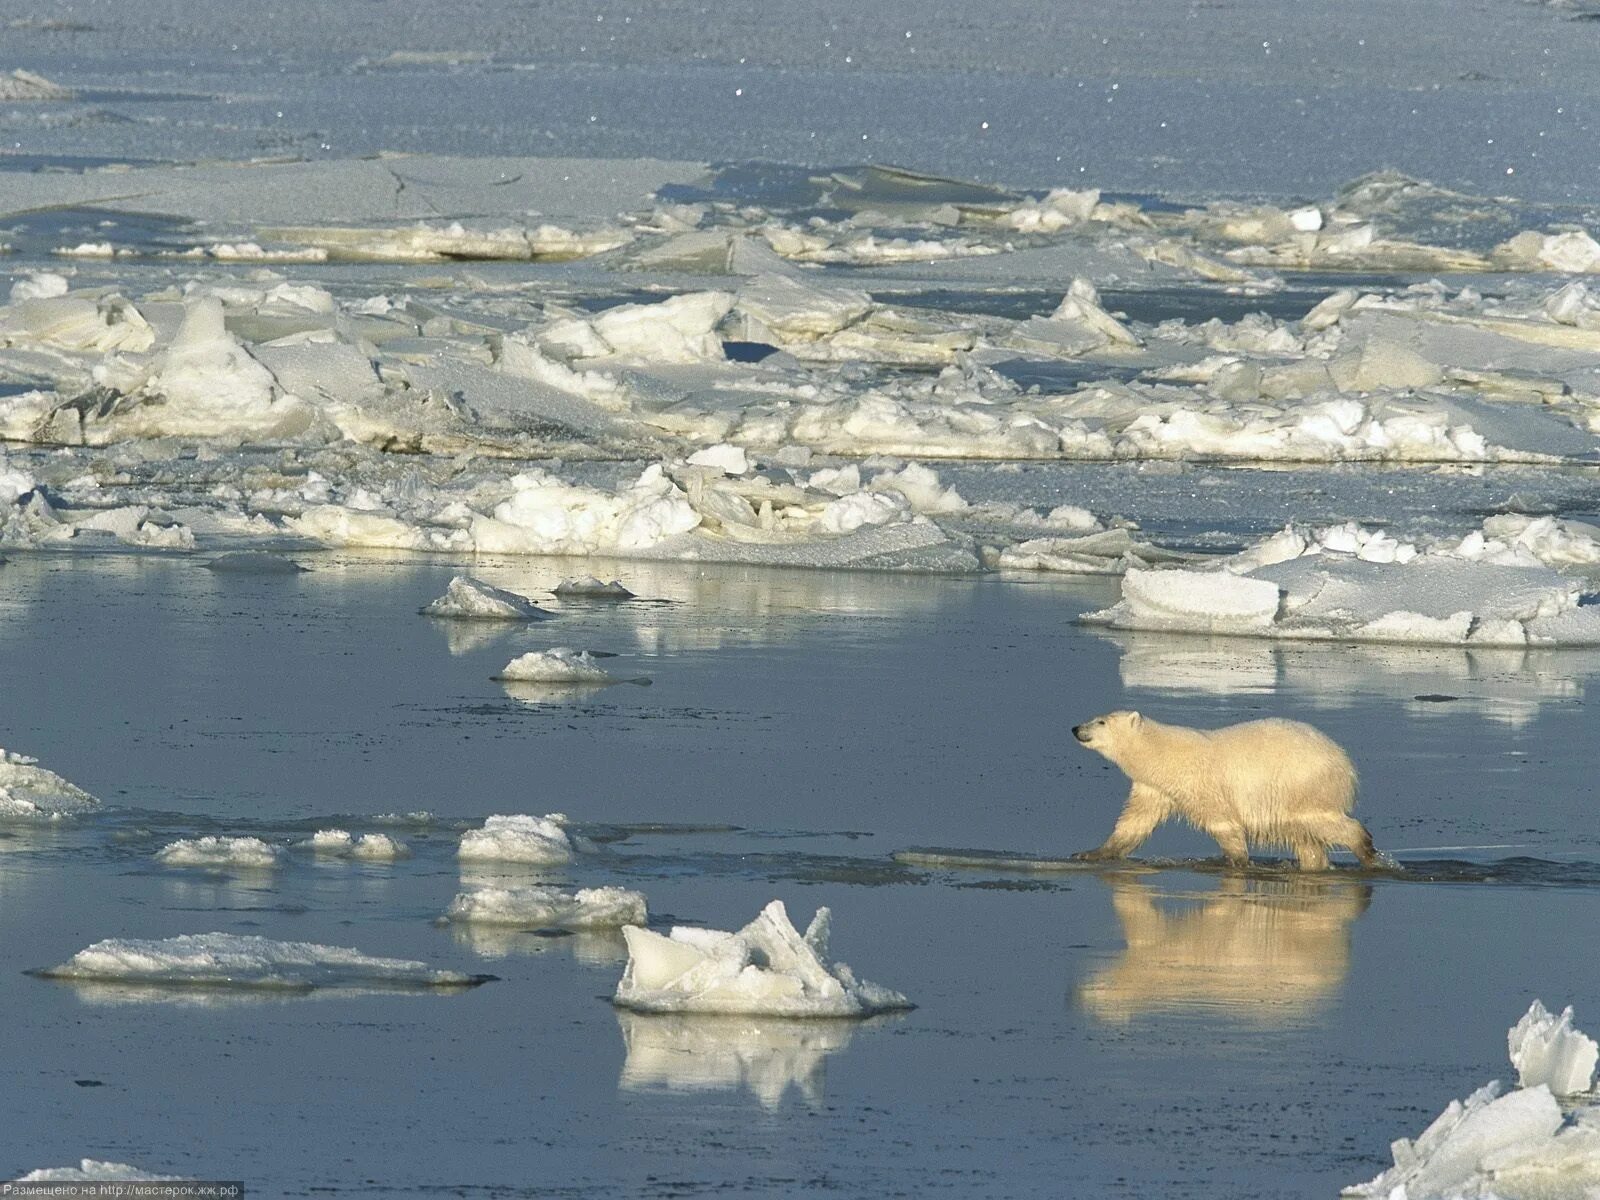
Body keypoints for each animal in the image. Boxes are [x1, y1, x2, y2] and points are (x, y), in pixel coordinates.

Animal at [1068, 713, 1382, 876]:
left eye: (1101, 722)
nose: (1075, 728)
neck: (1165, 755)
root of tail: (1345, 763)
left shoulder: (1201, 782)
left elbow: (1222, 822)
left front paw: (1237, 862)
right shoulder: (1154, 789)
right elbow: (1134, 823)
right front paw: (1090, 853)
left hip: (1304, 787)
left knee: (1323, 823)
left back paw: (1366, 851)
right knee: (1305, 840)